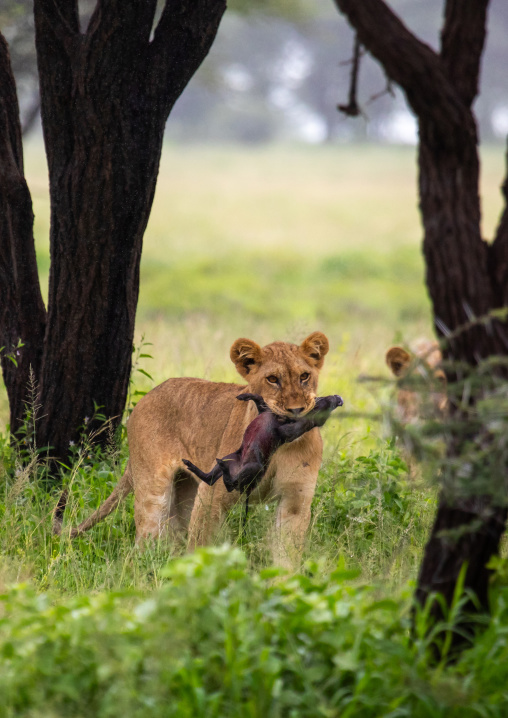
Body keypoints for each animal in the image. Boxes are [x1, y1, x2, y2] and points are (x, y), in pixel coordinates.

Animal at [57, 331, 331, 567]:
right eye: (272, 379)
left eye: (304, 376)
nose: (296, 410)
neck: (281, 444)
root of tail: (145, 397)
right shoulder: (212, 496)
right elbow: (200, 547)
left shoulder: (295, 500)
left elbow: (287, 556)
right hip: (153, 492)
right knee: (143, 544)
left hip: (185, 492)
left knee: (175, 535)